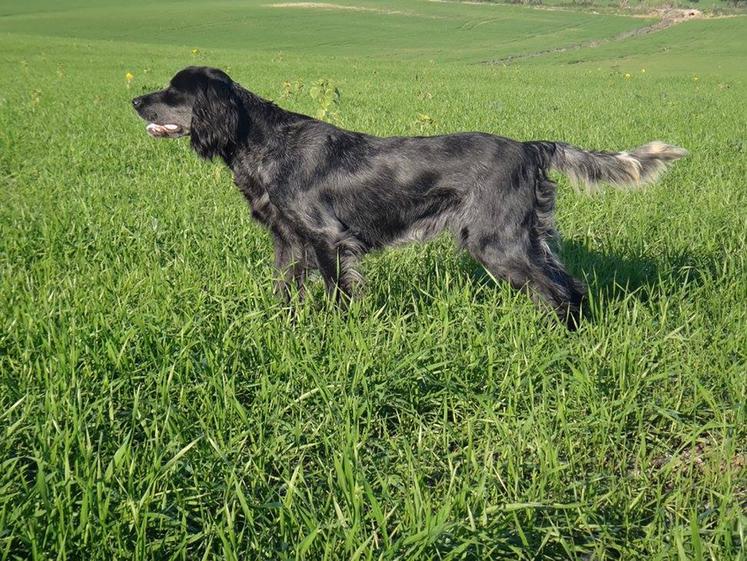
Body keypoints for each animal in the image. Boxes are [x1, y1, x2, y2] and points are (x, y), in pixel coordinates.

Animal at [133, 65, 688, 328]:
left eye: (173, 92)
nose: (135, 100)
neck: (264, 141)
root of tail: (530, 147)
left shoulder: (327, 238)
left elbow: (338, 294)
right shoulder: (288, 240)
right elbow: (286, 292)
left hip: (495, 242)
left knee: (557, 290)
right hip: (524, 236)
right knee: (569, 284)